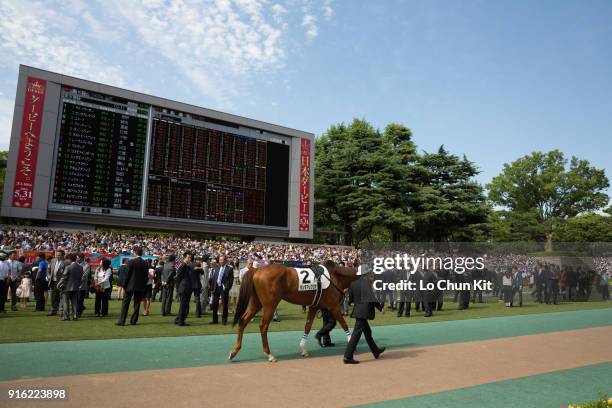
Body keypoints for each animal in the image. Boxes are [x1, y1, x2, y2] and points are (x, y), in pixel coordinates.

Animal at [230, 260, 358, 362]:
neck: (335, 276)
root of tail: (257, 270)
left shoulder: (314, 307)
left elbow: (307, 327)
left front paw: (303, 350)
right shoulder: (333, 306)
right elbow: (344, 324)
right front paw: (352, 344)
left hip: (256, 303)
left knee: (243, 321)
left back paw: (234, 351)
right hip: (270, 305)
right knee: (263, 326)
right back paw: (269, 355)